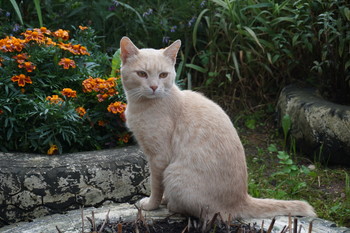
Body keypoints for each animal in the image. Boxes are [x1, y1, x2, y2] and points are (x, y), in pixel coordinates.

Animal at [120, 36, 318, 220]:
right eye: (142, 74)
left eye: (163, 75)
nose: (154, 87)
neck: (141, 105)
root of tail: (242, 198)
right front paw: (159, 201)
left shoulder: (159, 158)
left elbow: (156, 185)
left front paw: (151, 204)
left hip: (174, 174)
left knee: (200, 212)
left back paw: (172, 204)